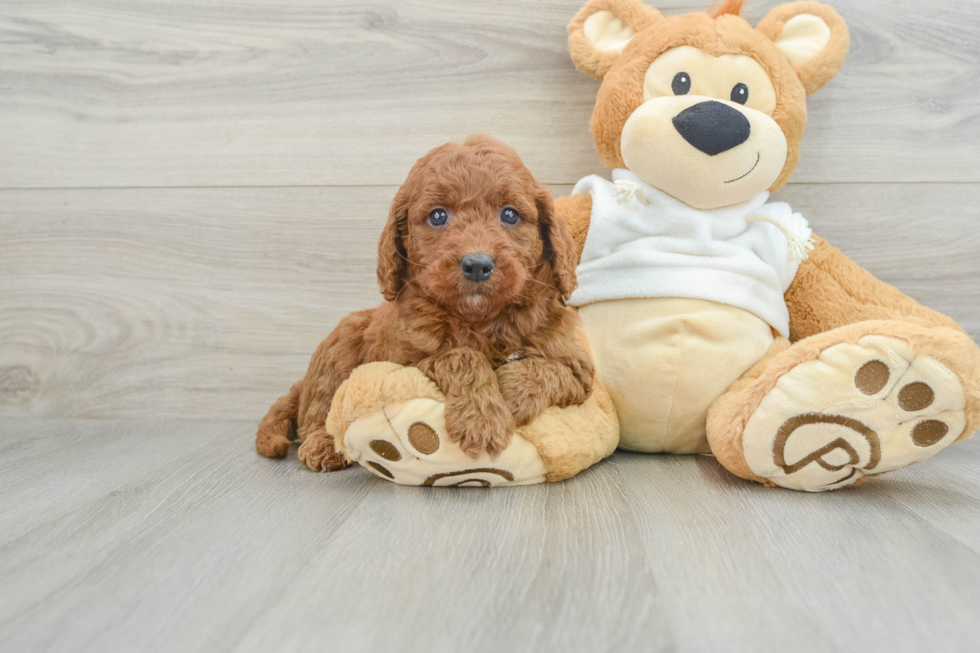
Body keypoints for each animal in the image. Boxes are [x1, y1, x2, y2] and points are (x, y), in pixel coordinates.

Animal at [256, 136, 592, 468]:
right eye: (438, 216)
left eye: (510, 214)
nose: (477, 265)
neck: (480, 319)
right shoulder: (401, 363)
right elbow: (459, 355)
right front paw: (482, 418)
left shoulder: (579, 371)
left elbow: (547, 369)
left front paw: (508, 395)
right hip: (337, 349)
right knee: (318, 410)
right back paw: (324, 445)